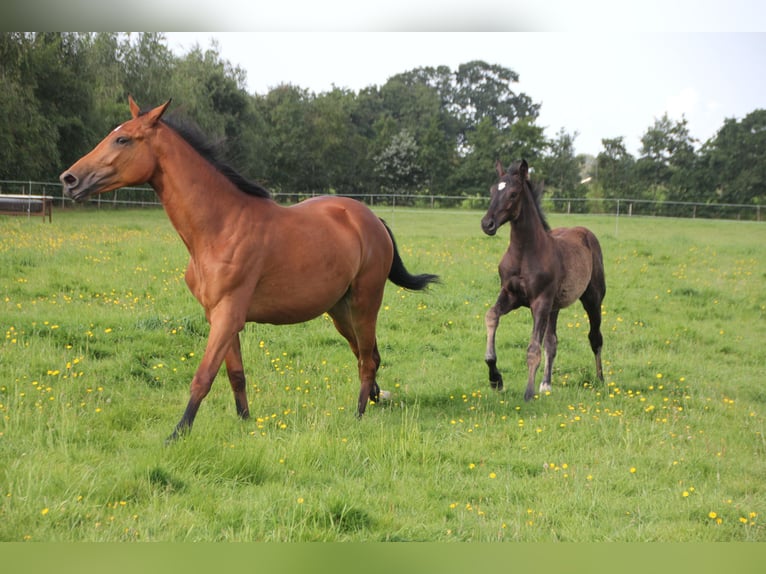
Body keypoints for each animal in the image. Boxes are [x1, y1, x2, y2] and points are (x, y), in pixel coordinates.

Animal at [58, 98, 438, 440]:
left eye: (123, 139)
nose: (69, 179)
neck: (221, 227)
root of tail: (372, 220)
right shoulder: (219, 316)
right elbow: (235, 374)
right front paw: (244, 422)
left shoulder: (227, 315)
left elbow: (203, 376)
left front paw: (177, 434)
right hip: (339, 310)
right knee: (367, 352)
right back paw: (375, 398)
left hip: (364, 303)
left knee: (366, 360)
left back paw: (358, 414)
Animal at [480, 160, 608, 402]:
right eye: (492, 191)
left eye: (513, 194)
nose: (487, 224)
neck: (524, 252)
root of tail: (586, 232)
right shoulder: (510, 295)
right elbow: (491, 316)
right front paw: (495, 379)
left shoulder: (539, 302)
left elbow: (533, 349)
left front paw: (528, 393)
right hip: (554, 307)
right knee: (552, 341)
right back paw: (546, 383)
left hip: (592, 299)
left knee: (595, 337)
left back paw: (600, 380)